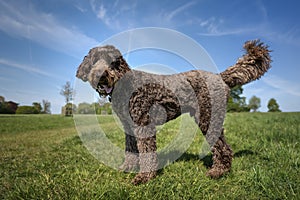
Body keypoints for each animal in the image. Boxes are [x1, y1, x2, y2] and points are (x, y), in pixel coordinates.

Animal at [75, 39, 272, 185]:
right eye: (94, 61)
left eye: (112, 61)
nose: (101, 74)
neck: (124, 85)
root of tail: (220, 77)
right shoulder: (129, 128)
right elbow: (131, 151)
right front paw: (127, 168)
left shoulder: (143, 125)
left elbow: (147, 153)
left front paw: (145, 177)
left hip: (208, 119)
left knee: (223, 148)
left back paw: (217, 172)